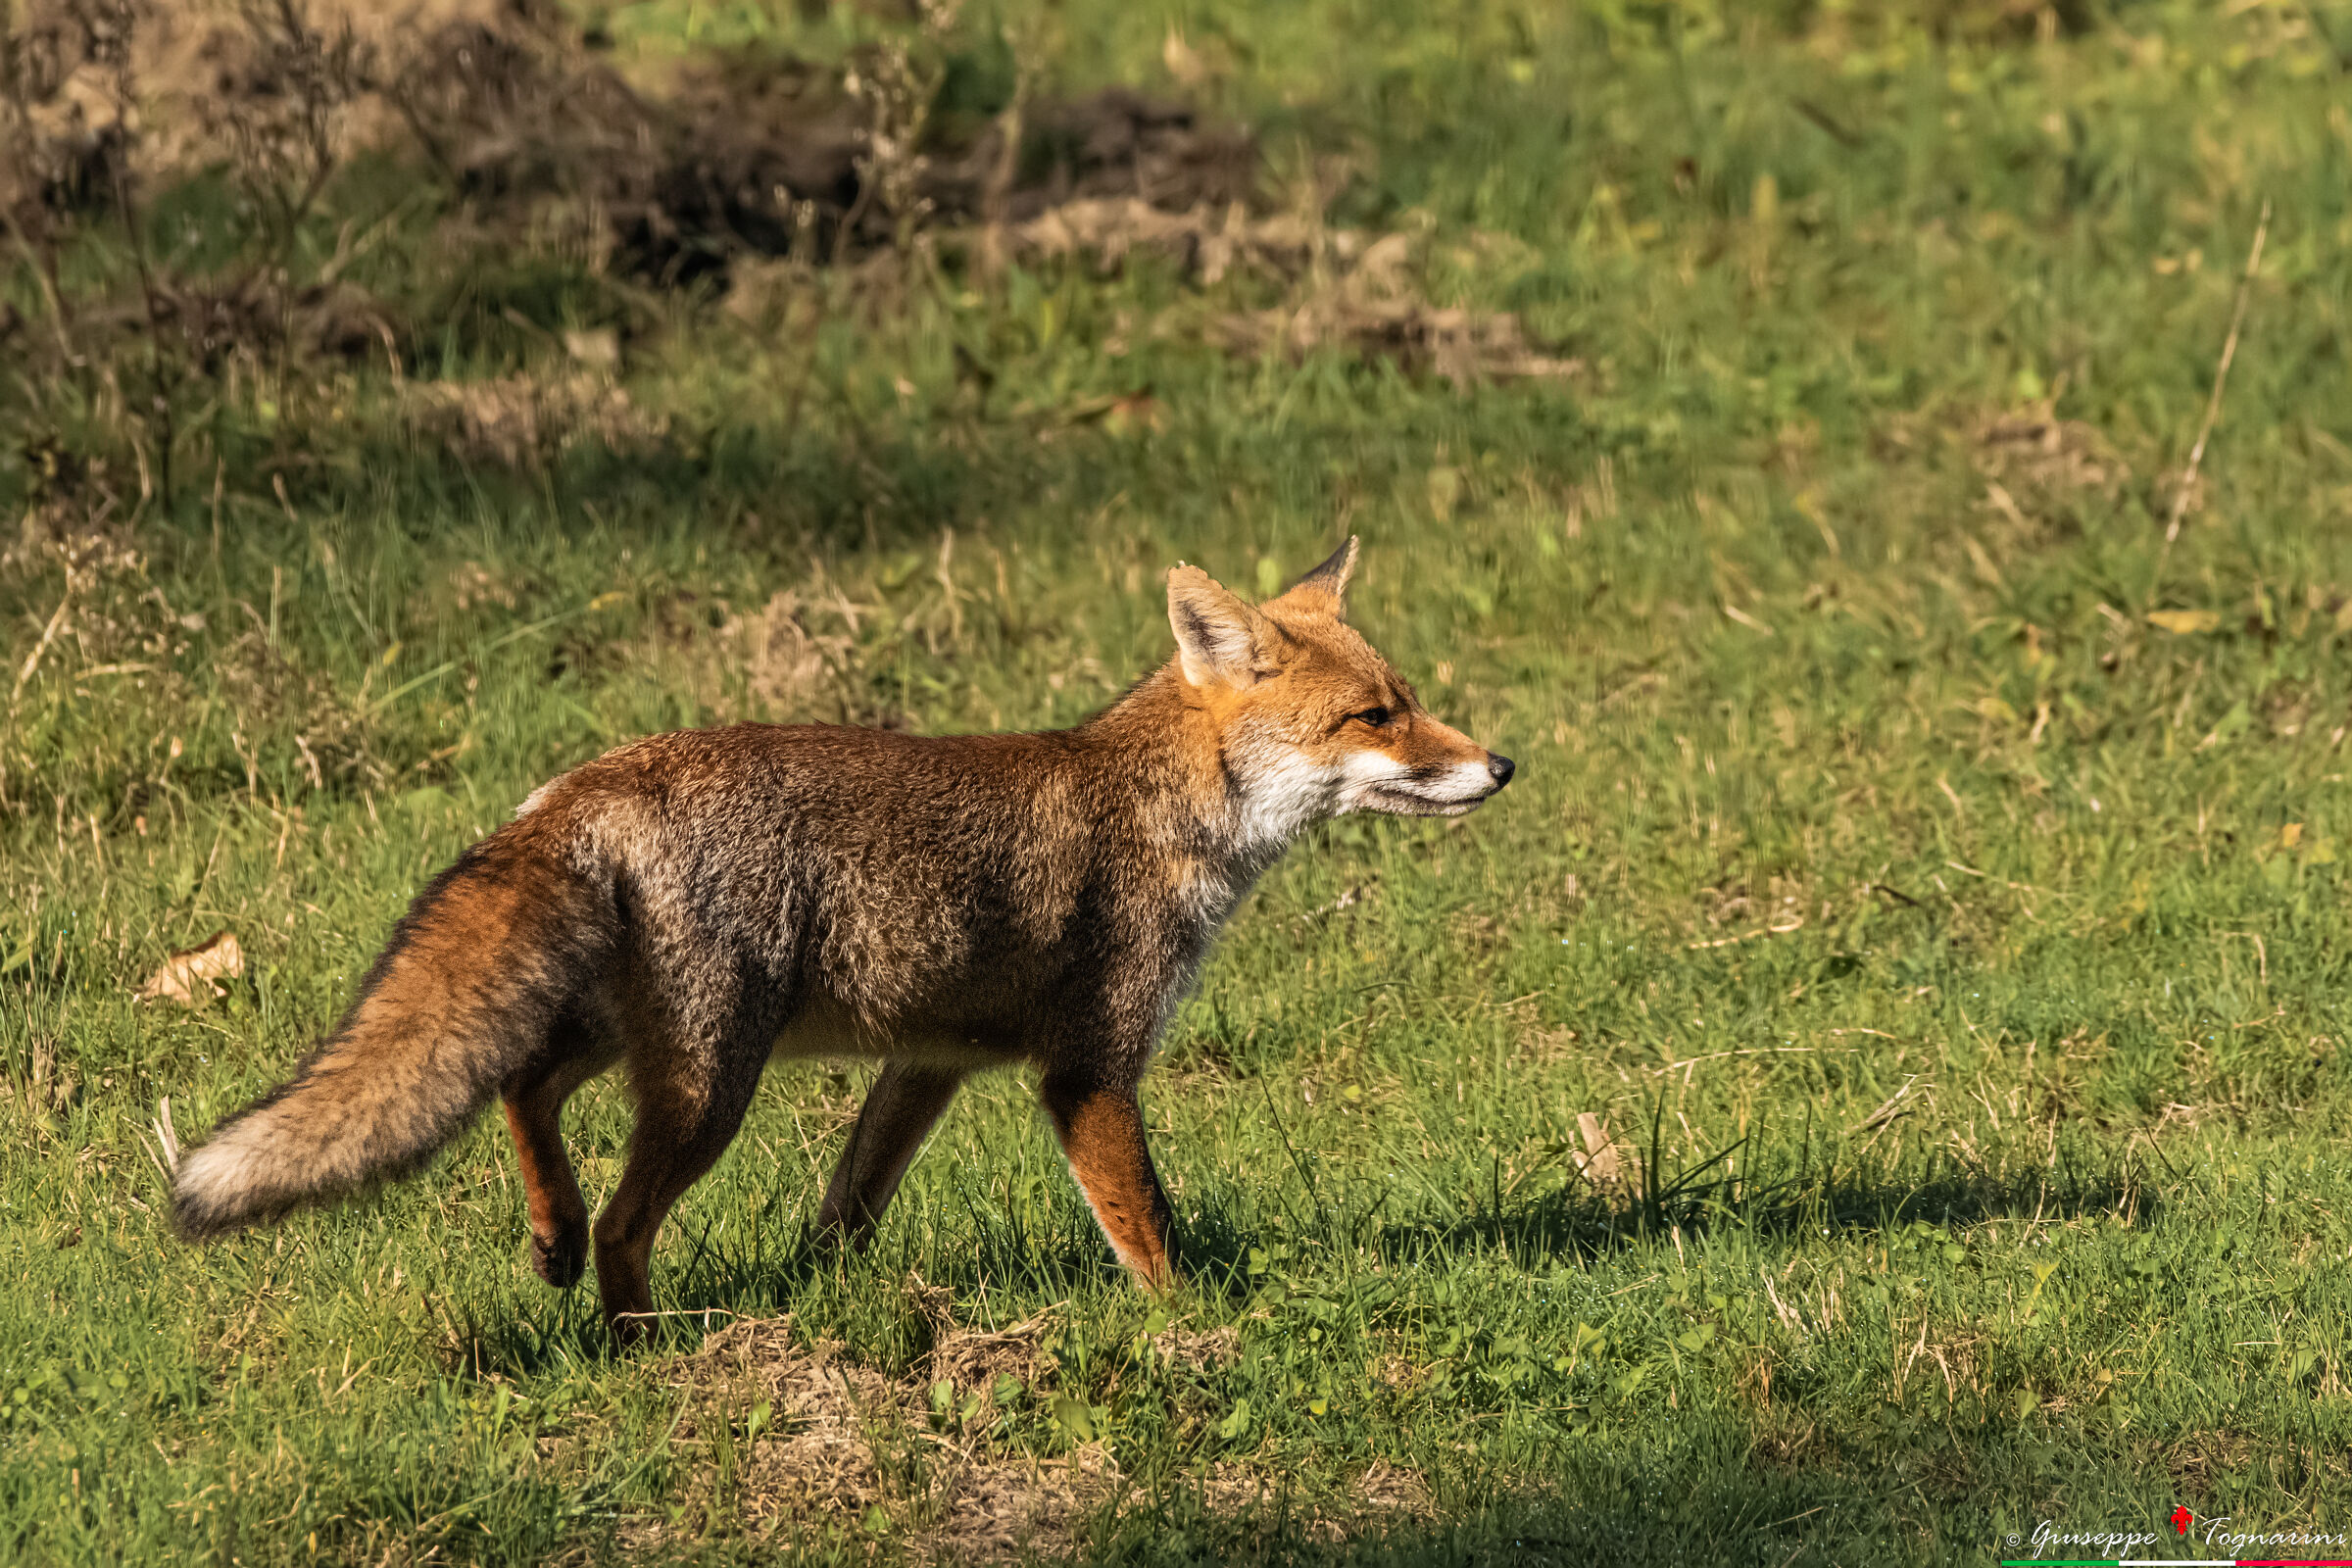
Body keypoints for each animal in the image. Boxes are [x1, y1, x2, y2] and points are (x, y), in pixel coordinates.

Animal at [172, 539, 1515, 1344]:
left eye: (1409, 699)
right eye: (1375, 716)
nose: (1502, 764)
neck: (1157, 803)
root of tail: (589, 781)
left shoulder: (930, 1061)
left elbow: (848, 1205)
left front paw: (827, 1301)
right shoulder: (1089, 1070)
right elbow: (1150, 1233)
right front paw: (1196, 1332)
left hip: (627, 1037)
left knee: (524, 1089)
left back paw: (553, 1241)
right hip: (711, 1083)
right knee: (620, 1216)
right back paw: (638, 1347)